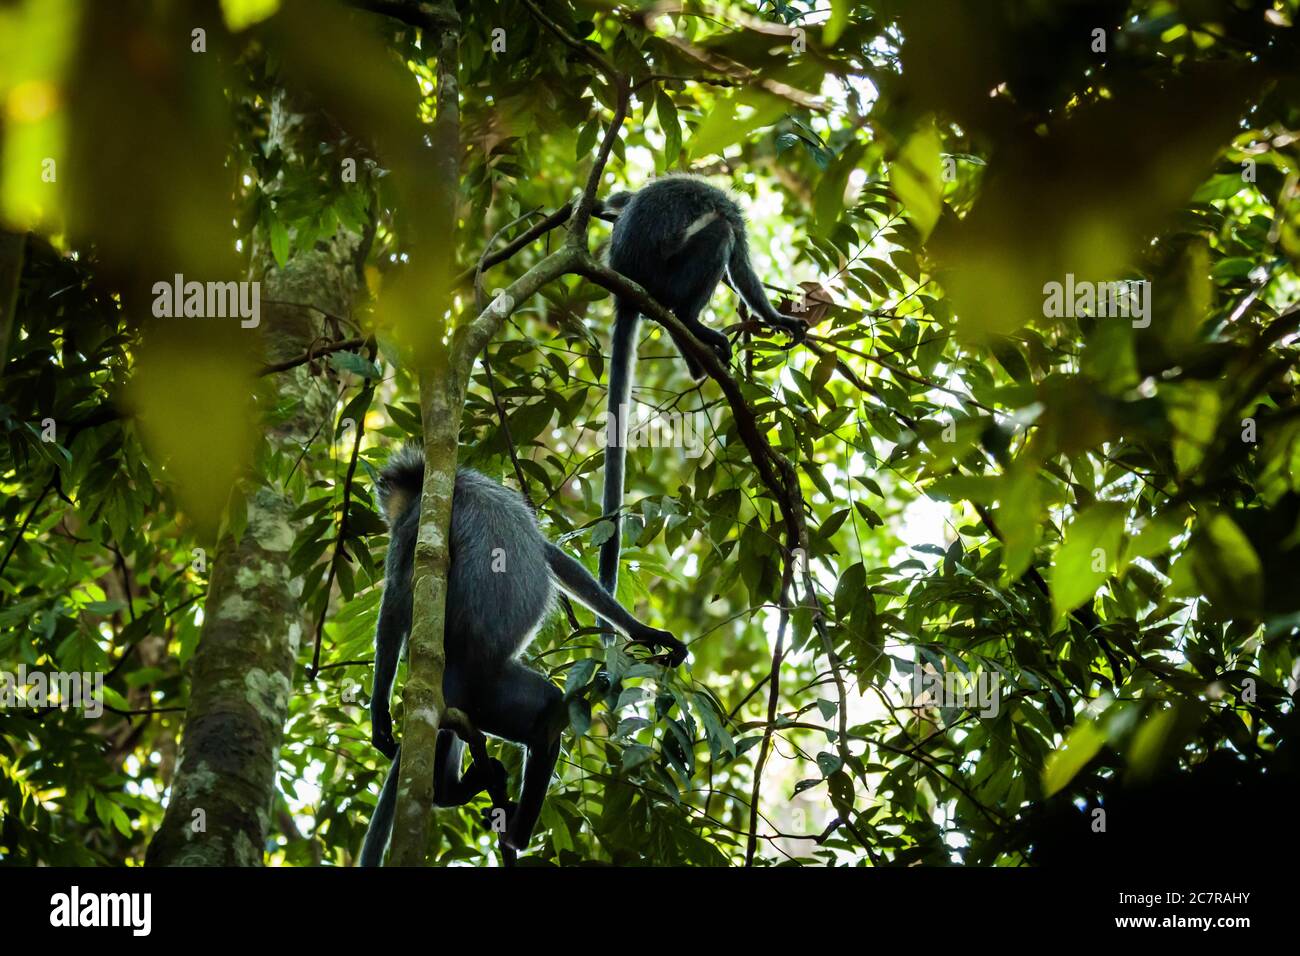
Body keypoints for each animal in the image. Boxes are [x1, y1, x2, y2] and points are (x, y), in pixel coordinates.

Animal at [361, 444, 686, 863]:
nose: (382, 506)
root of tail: (470, 661)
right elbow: (556, 558)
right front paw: (646, 633)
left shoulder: (414, 520)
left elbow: (397, 599)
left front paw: (379, 715)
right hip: (495, 694)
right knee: (545, 721)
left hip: (474, 686)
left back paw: (489, 818)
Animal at [598, 174, 800, 616]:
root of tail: (625, 279)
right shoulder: (733, 213)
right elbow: (742, 269)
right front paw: (777, 317)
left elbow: (614, 199)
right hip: (667, 270)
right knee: (717, 236)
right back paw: (692, 325)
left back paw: (695, 359)